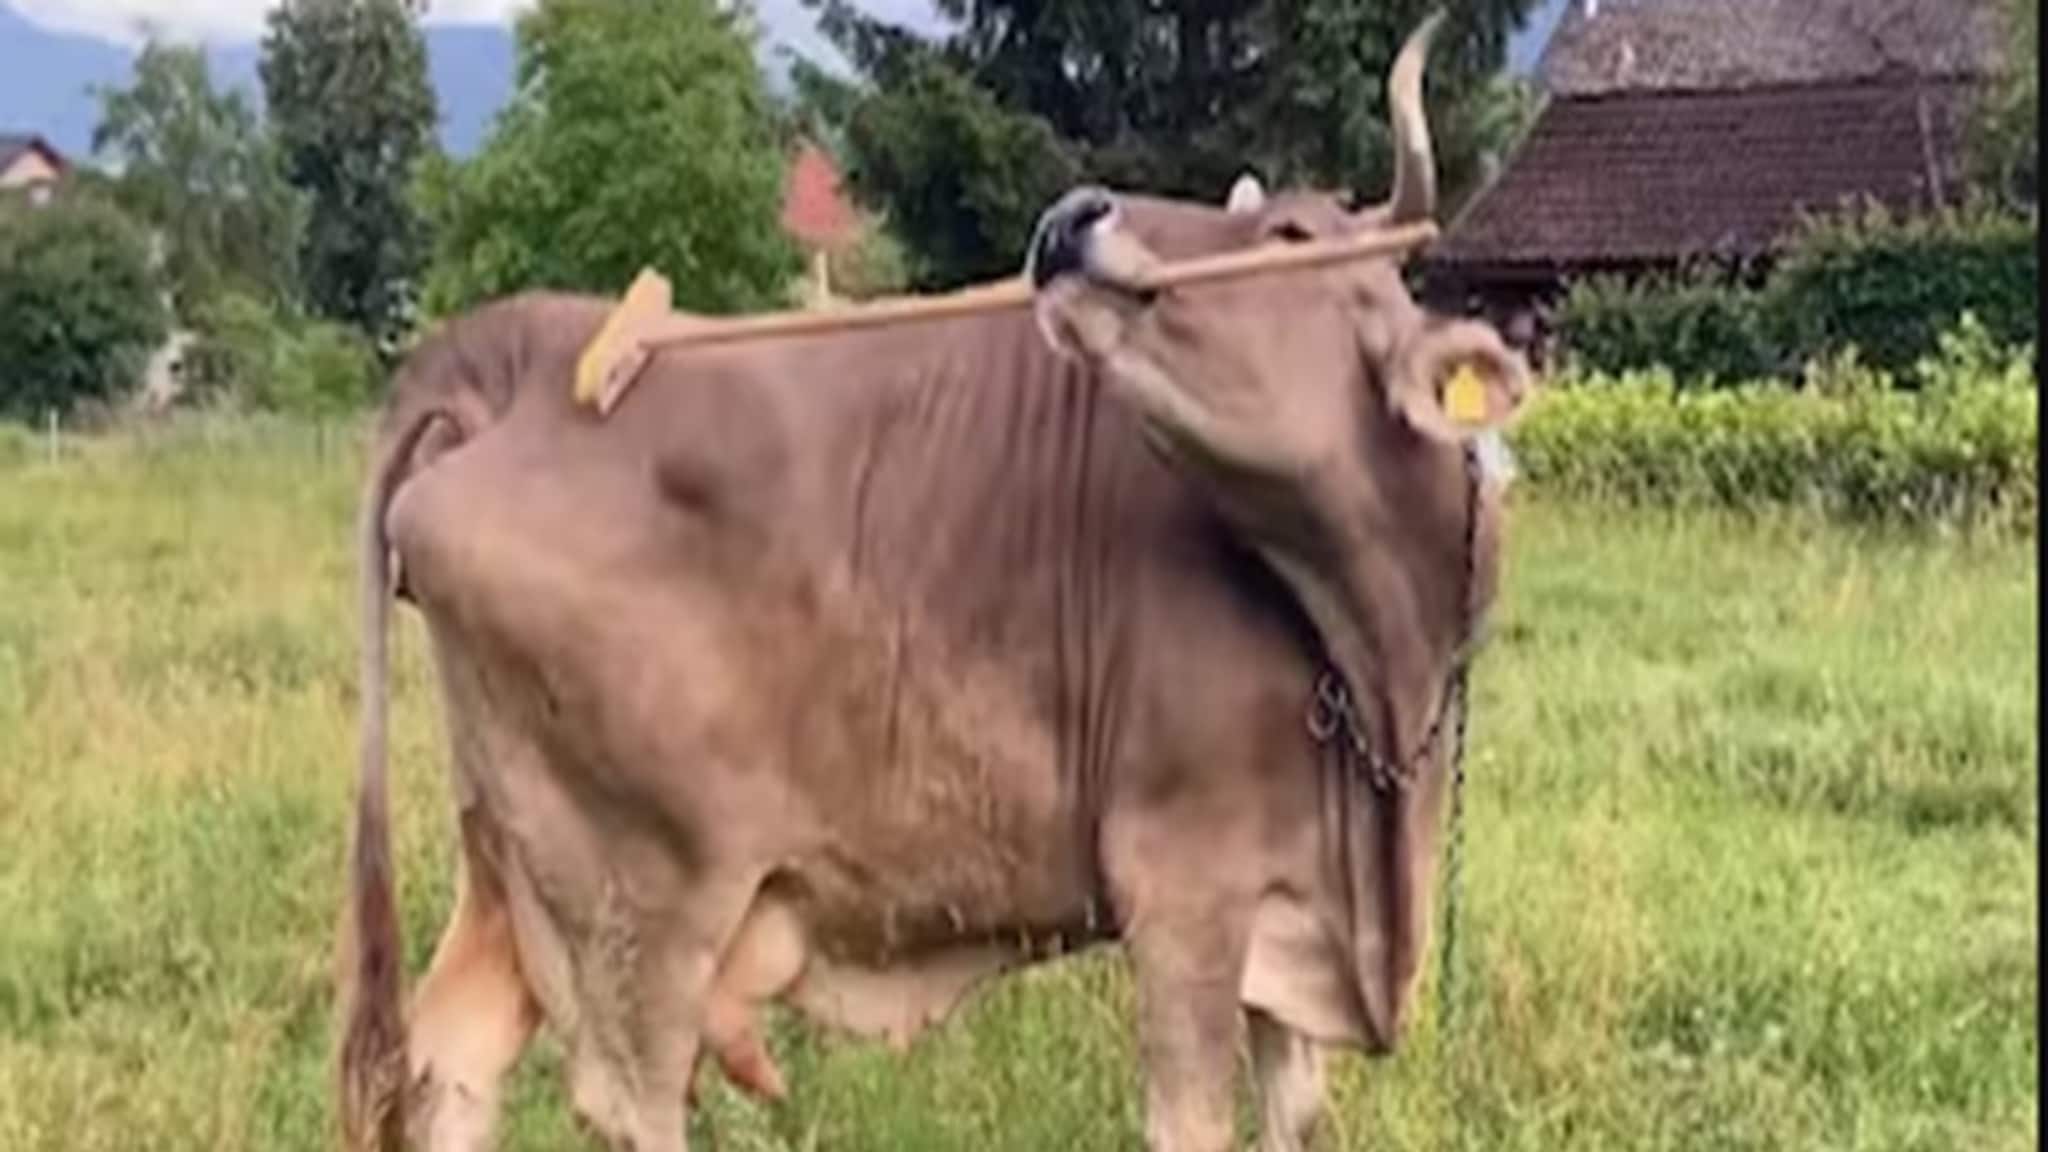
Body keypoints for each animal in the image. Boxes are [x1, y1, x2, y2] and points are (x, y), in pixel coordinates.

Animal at [337, 15, 1534, 1152]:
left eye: (1291, 234)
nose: (1070, 217)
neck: (1373, 659)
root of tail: (521, 347)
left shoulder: (1290, 926)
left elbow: (1297, 1116)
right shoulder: (1184, 891)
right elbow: (1192, 1120)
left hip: (511, 860)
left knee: (450, 1054)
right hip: (645, 893)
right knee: (628, 1098)